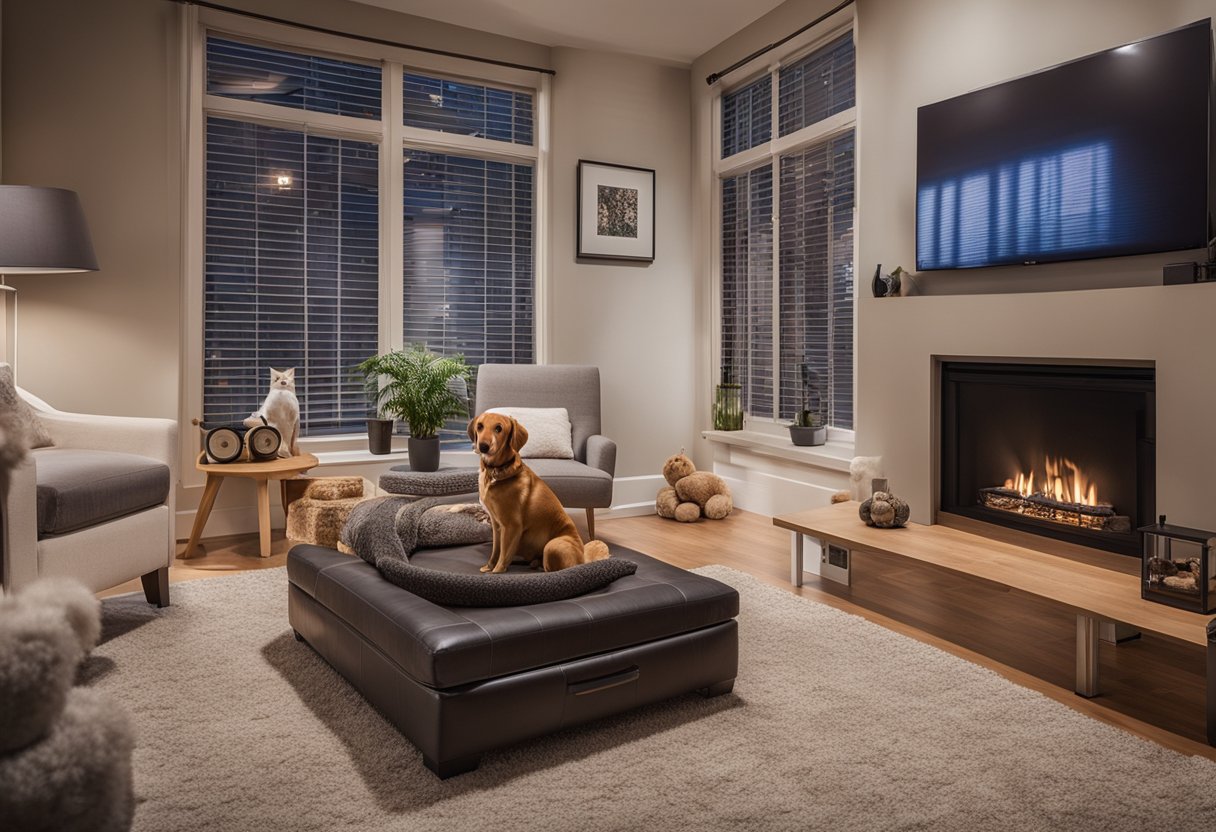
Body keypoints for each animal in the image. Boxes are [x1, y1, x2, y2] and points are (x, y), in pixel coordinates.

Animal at [469, 411, 612, 571]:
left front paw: (495, 571)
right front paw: (488, 567)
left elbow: (503, 556)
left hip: (551, 546)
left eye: (498, 428)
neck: (496, 471)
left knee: (556, 570)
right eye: (480, 426)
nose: (483, 446)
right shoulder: (496, 525)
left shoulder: (512, 526)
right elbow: (495, 551)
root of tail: (583, 558)